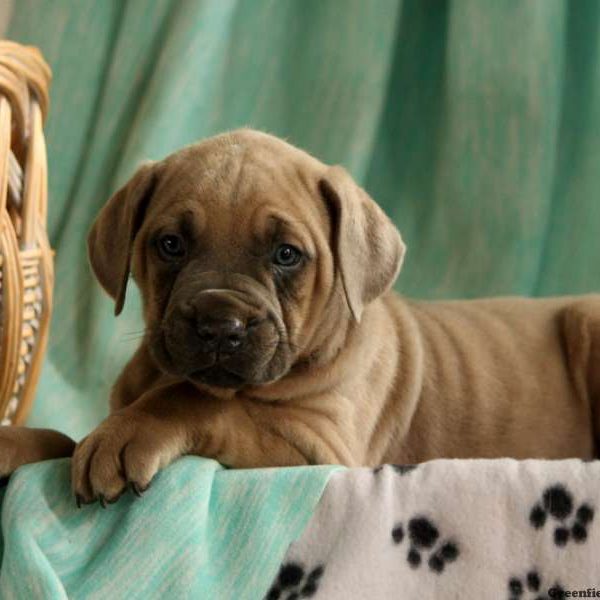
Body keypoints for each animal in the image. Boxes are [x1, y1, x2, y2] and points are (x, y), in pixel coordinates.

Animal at [1, 127, 600, 506]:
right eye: (170, 244)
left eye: (286, 254)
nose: (219, 325)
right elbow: (63, 437)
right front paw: (15, 442)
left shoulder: (319, 449)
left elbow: (201, 400)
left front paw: (129, 432)